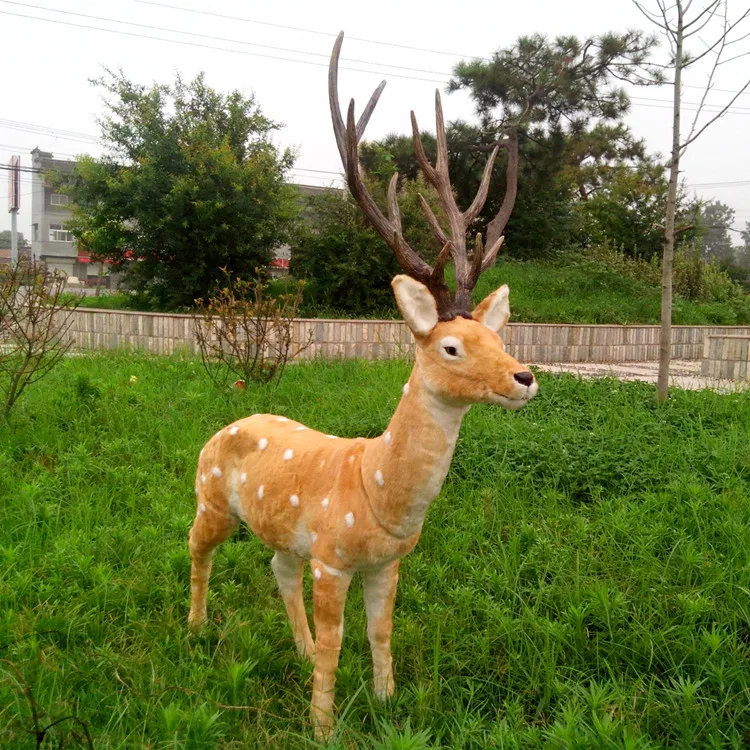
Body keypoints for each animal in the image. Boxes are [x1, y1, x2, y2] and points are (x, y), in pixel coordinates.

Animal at [187, 31, 538, 741]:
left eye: (499, 340)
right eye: (452, 347)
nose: (525, 376)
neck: (379, 492)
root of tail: (225, 426)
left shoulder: (386, 562)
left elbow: (380, 633)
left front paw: (387, 704)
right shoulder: (333, 555)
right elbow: (337, 641)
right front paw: (323, 727)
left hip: (283, 533)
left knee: (276, 567)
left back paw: (289, 649)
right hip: (211, 497)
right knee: (195, 548)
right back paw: (195, 628)